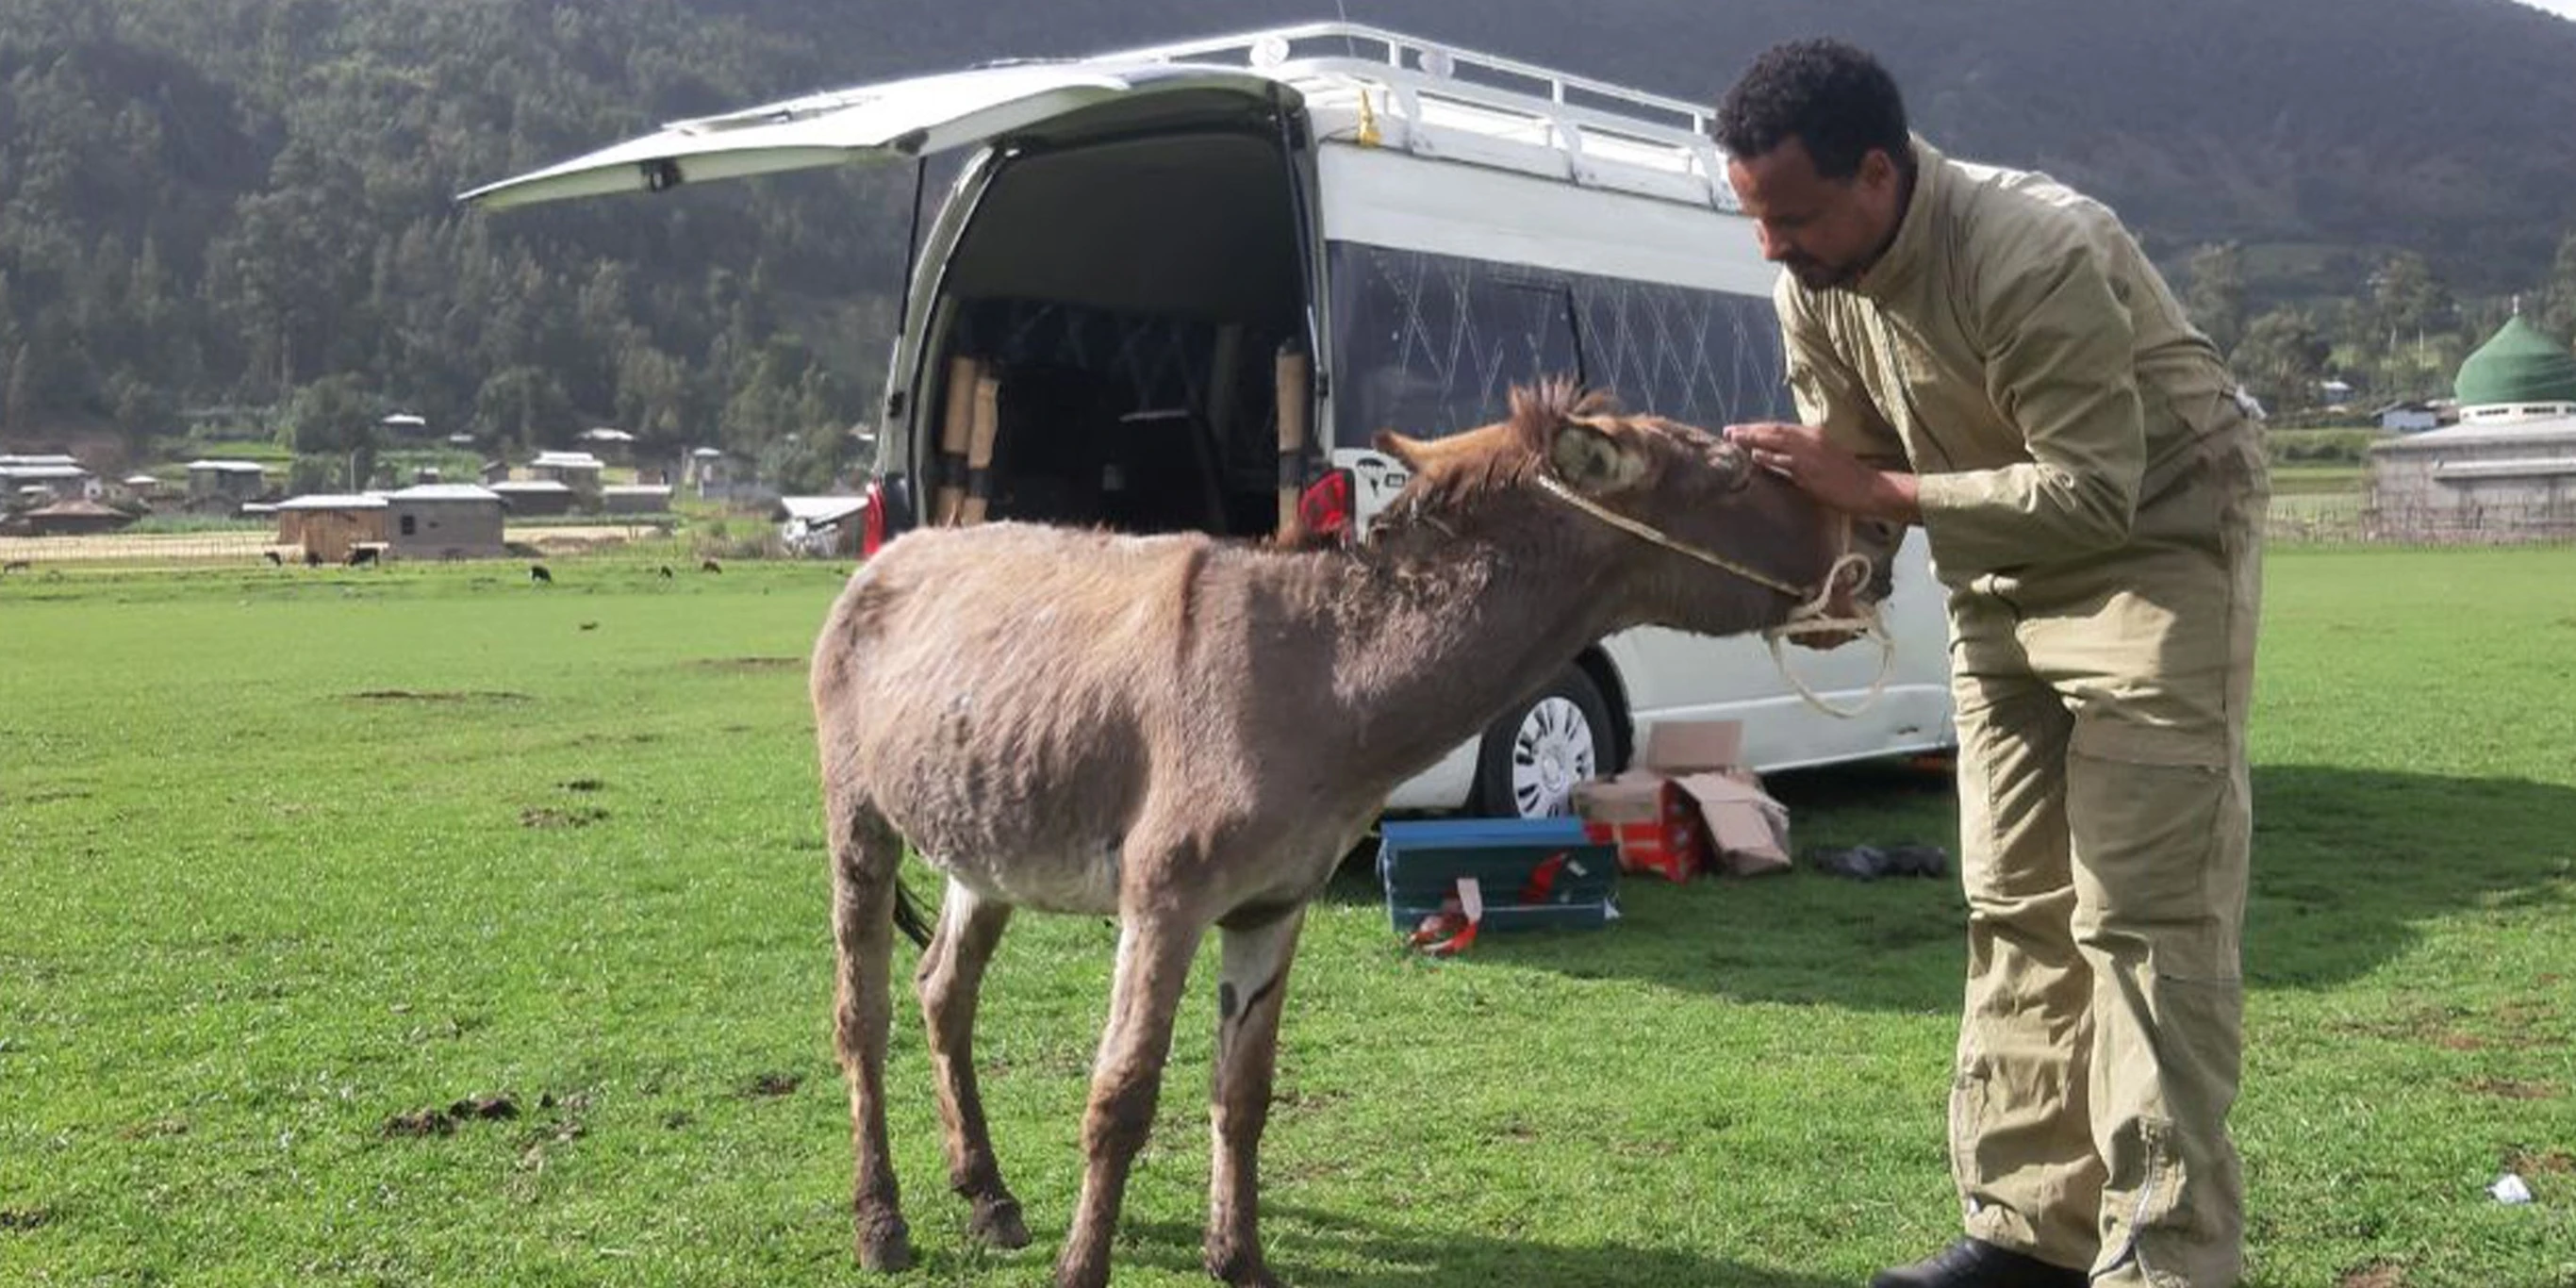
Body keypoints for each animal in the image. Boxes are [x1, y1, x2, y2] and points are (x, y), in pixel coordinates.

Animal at [808, 378, 1897, 1288]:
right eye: (1732, 475)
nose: (1883, 541)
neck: (1323, 676)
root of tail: (897, 550)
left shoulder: (1271, 907)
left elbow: (1243, 1092)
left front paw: (1240, 1263)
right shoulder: (1163, 906)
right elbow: (1119, 1099)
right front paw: (1083, 1273)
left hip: (985, 841)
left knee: (943, 990)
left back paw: (988, 1197)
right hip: (860, 822)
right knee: (862, 1014)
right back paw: (881, 1222)